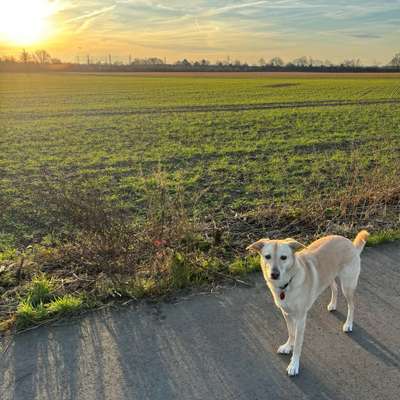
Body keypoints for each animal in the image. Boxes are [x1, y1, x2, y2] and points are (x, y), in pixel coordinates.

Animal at [245, 230, 370, 376]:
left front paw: (294, 364)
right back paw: (333, 305)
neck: (287, 284)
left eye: (283, 257)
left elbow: (298, 344)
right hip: (329, 277)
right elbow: (291, 333)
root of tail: (350, 243)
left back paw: (348, 324)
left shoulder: (300, 319)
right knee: (334, 288)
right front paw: (288, 346)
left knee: (352, 305)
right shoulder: (286, 314)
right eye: (267, 256)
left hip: (347, 286)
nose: (274, 274)